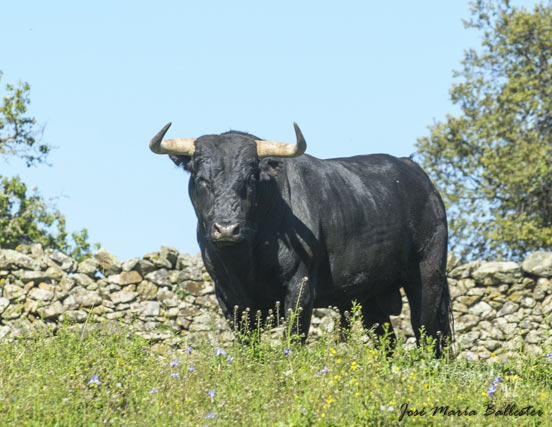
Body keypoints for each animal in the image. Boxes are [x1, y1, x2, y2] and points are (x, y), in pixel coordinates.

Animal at [150, 123, 452, 354]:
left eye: (250, 178)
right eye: (202, 178)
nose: (226, 228)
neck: (246, 258)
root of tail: (416, 172)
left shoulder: (300, 288)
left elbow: (294, 339)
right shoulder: (229, 296)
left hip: (427, 275)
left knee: (430, 334)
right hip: (371, 293)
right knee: (387, 340)